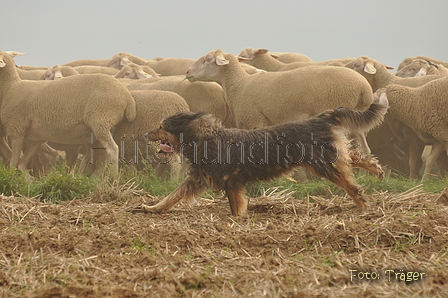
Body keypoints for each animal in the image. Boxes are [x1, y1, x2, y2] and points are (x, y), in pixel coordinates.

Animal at [0, 50, 136, 176]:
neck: (10, 88)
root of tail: (127, 97)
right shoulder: (35, 138)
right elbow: (21, 164)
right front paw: (30, 180)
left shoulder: (16, 129)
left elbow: (13, 163)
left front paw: (13, 179)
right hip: (105, 126)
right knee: (103, 153)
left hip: (101, 121)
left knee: (113, 149)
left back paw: (112, 177)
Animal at [144, 100, 388, 217]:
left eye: (161, 127)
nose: (146, 134)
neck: (205, 138)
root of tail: (319, 119)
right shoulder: (198, 179)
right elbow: (173, 196)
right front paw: (153, 208)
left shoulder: (230, 182)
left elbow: (236, 207)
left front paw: (238, 220)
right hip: (331, 156)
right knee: (355, 157)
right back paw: (377, 170)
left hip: (325, 164)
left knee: (352, 185)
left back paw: (363, 207)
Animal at [186, 49, 378, 154]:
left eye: (208, 60)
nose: (187, 72)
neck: (239, 85)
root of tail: (364, 88)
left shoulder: (255, 121)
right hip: (356, 119)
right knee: (365, 149)